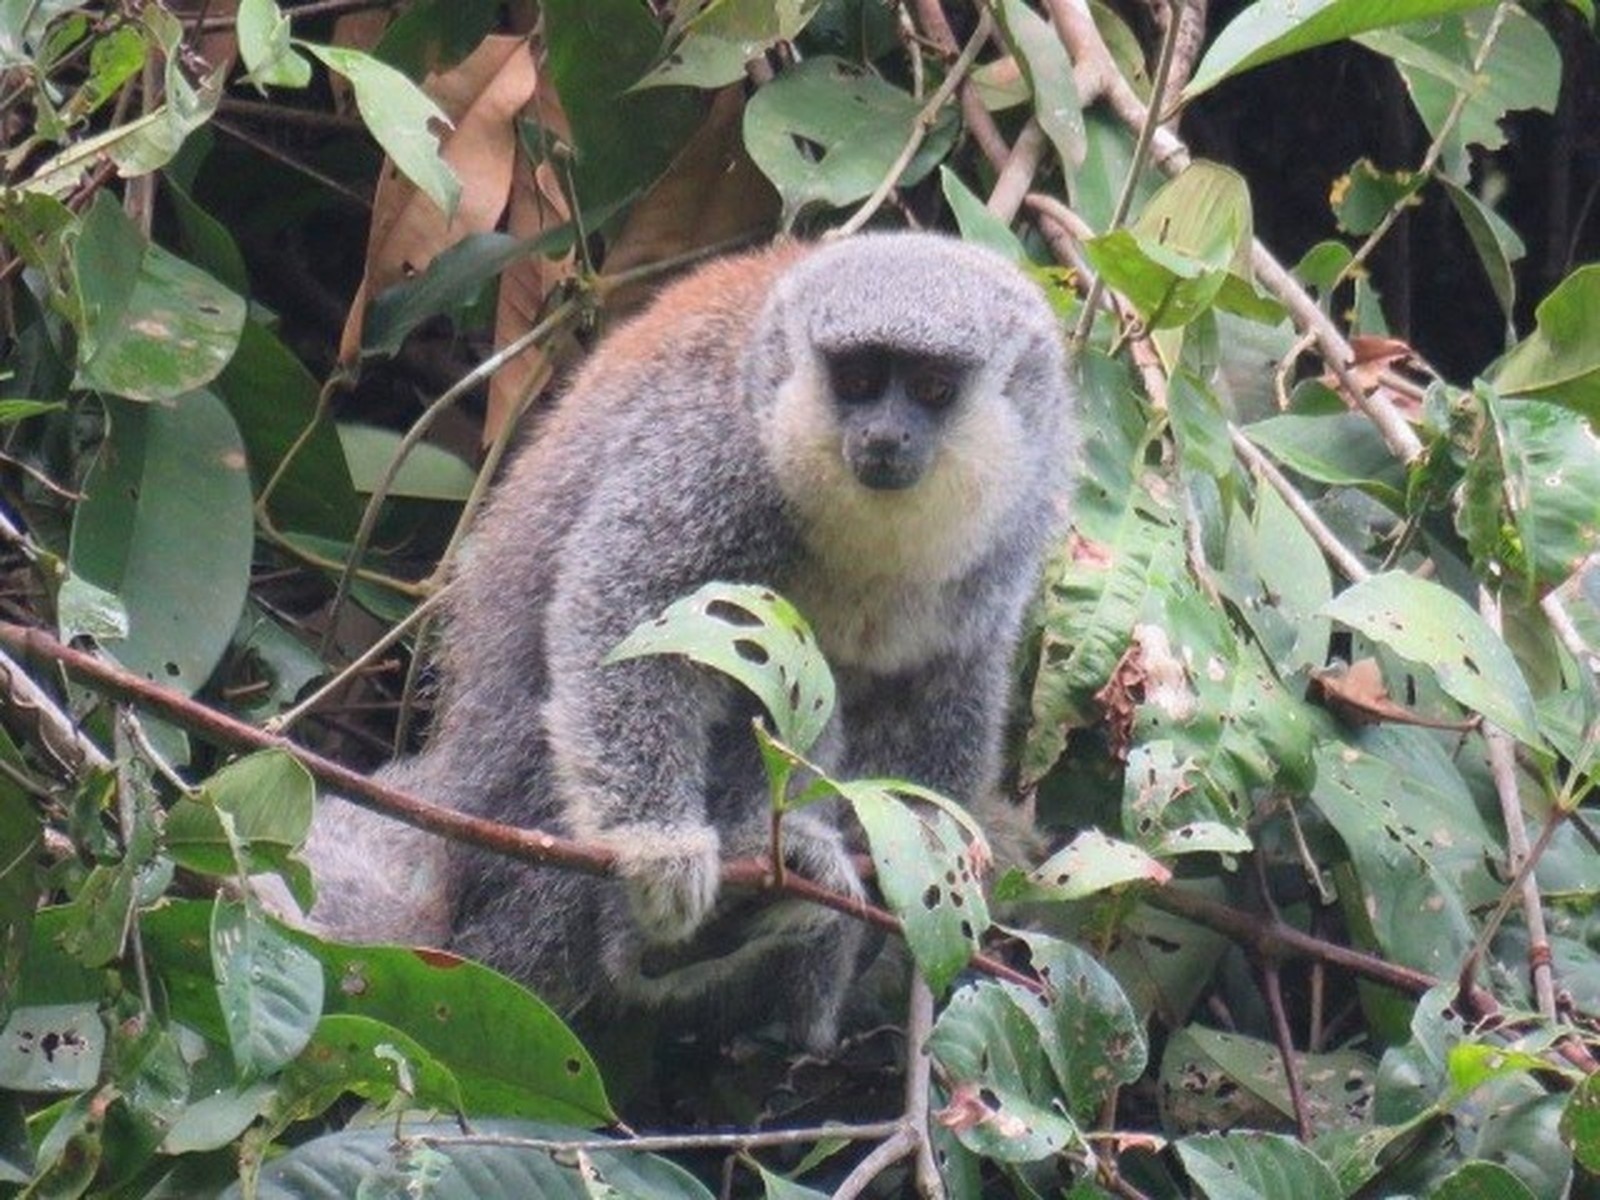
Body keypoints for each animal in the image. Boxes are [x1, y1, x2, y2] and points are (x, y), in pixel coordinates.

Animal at [299, 232, 1074, 1052]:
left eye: (930, 389)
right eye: (859, 379)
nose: (885, 435)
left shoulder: (1011, 538)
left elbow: (950, 687)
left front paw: (924, 876)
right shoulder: (713, 460)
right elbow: (626, 607)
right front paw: (658, 844)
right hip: (525, 829)